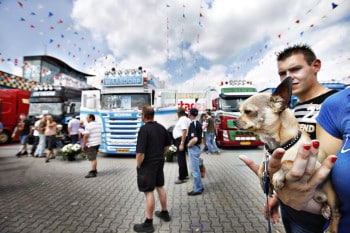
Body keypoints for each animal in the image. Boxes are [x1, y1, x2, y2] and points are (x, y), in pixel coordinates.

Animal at [235, 77, 340, 233]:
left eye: (248, 111)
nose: (234, 121)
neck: (277, 145)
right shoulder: (266, 160)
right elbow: (261, 167)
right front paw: (262, 180)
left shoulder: (316, 166)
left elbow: (287, 162)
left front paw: (278, 175)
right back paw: (325, 209)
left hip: (332, 196)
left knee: (337, 213)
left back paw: (331, 225)